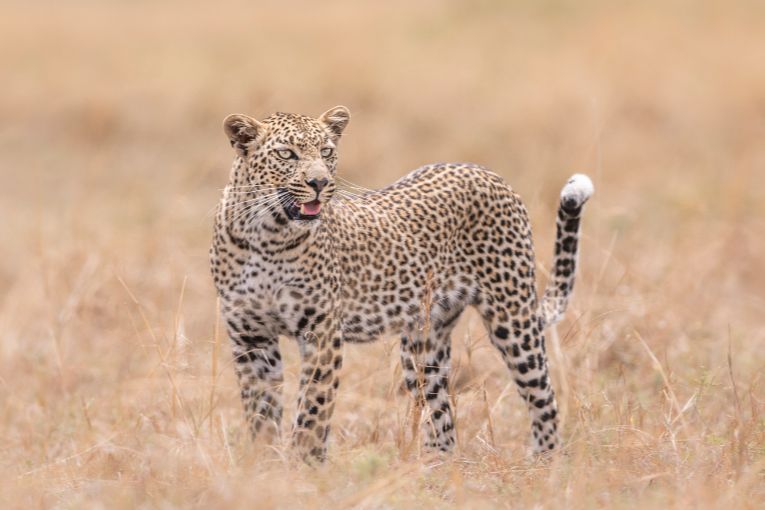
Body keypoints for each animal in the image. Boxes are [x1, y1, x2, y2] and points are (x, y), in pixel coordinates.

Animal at [209, 106, 593, 464]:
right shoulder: (250, 336)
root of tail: (484, 171)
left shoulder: (321, 333)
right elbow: (260, 412)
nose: (319, 182)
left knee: (542, 397)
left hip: (512, 318)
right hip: (424, 345)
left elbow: (313, 411)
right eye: (287, 154)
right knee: (442, 419)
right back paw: (435, 469)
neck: (266, 234)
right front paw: (263, 463)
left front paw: (305, 468)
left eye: (327, 151)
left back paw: (545, 464)